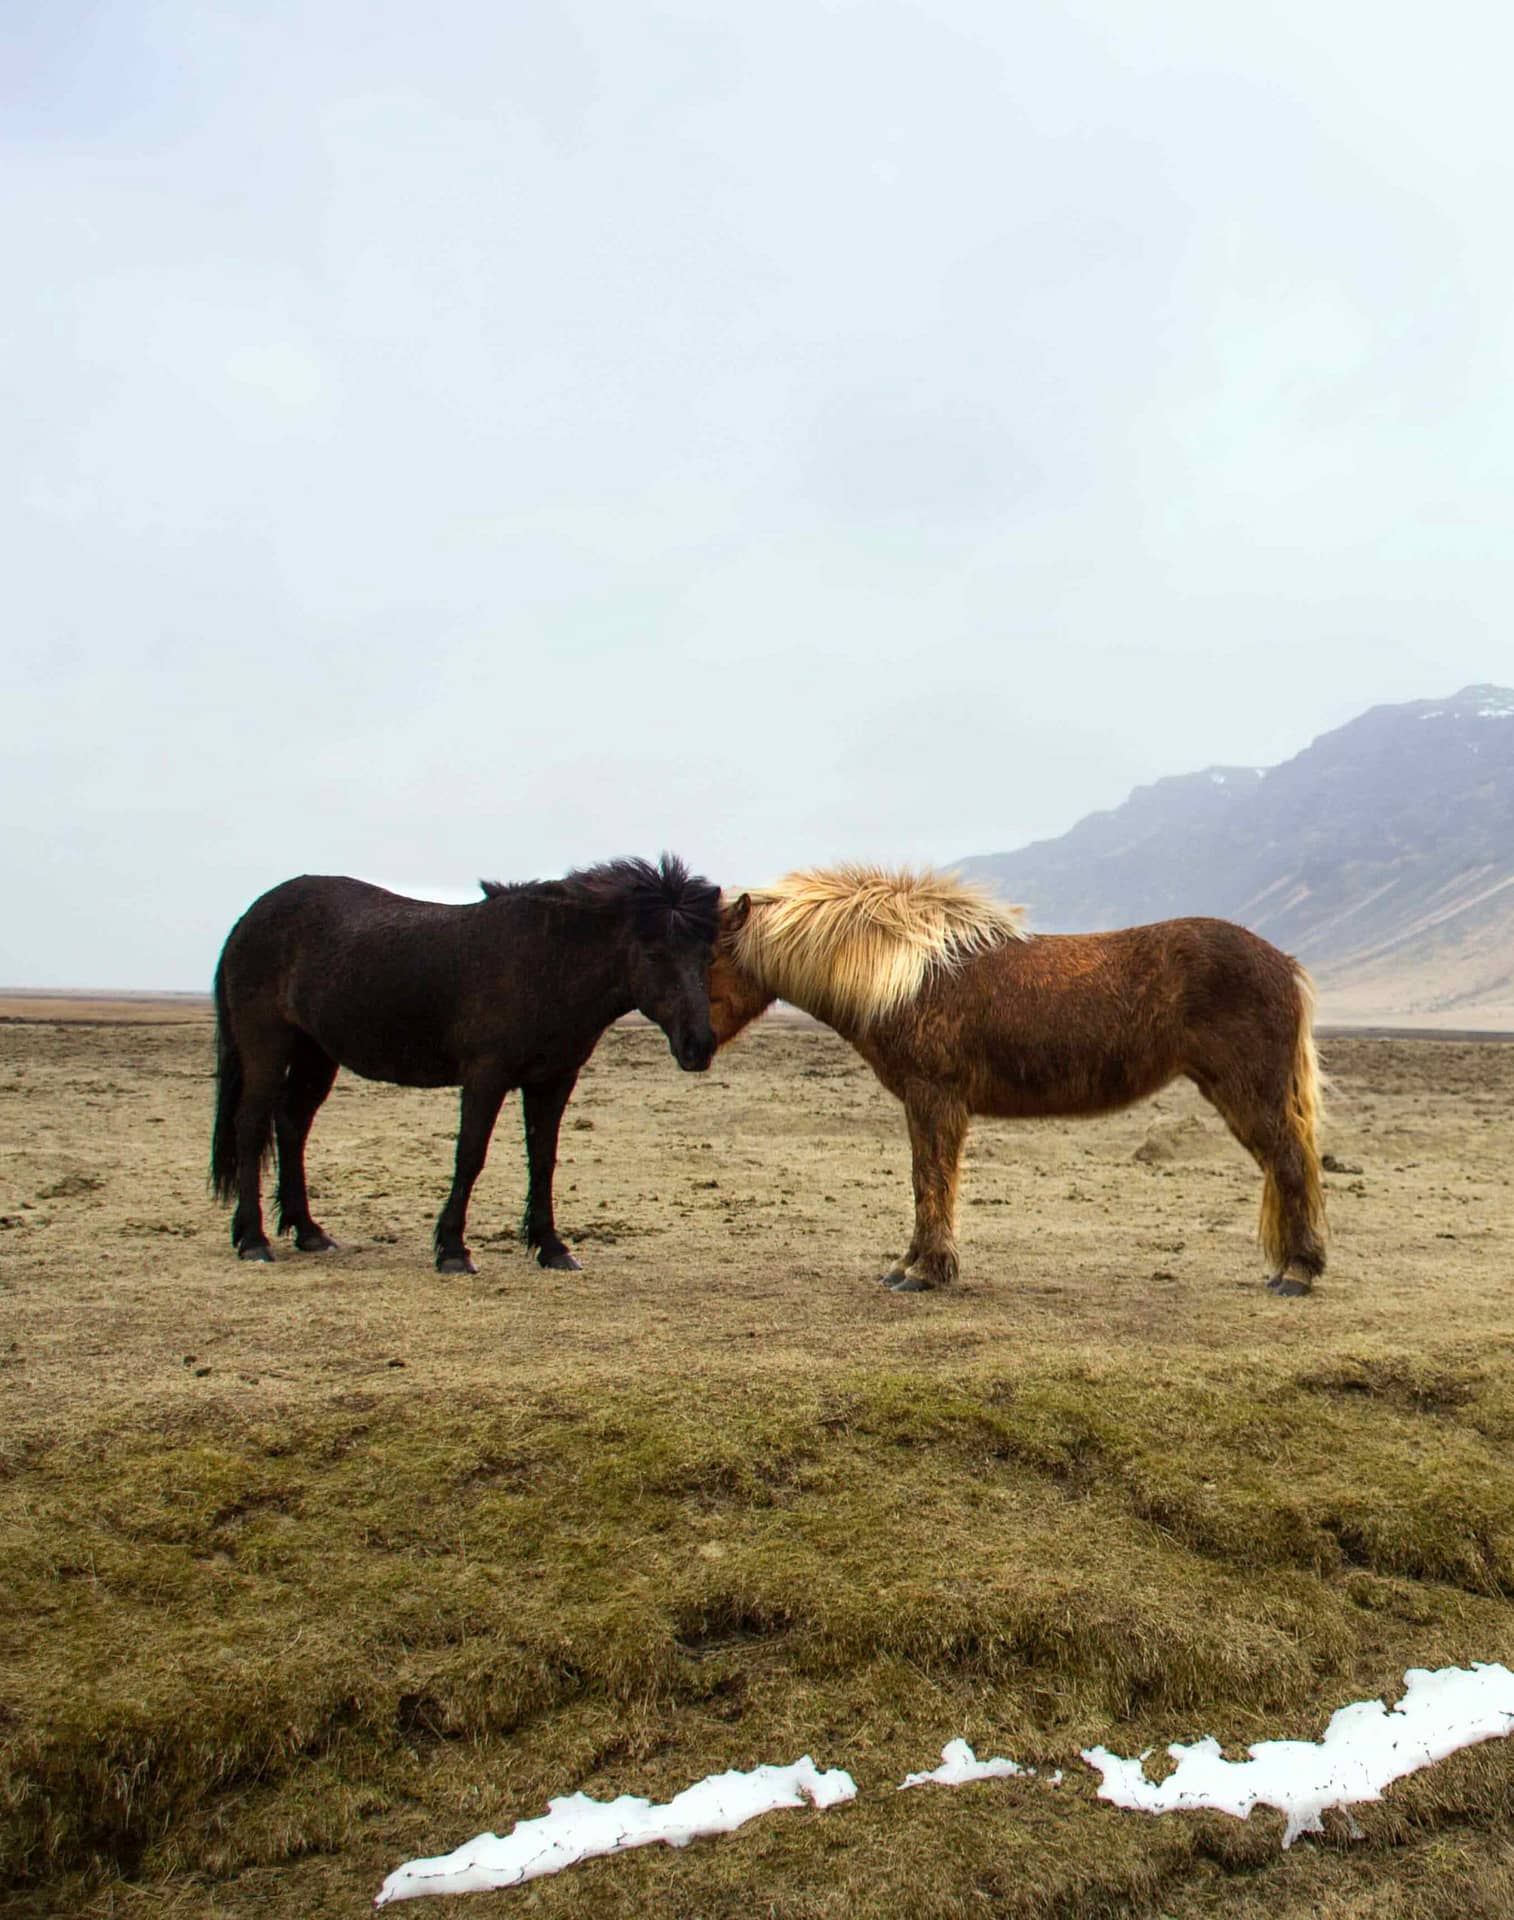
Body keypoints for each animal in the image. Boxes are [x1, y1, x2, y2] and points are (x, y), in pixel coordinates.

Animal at [211, 856, 721, 1274]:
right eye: (655, 954)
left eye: (706, 955)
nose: (699, 1046)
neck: (546, 963)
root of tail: (249, 918)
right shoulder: (485, 1077)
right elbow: (471, 1155)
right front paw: (453, 1250)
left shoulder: (553, 1080)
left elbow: (544, 1159)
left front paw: (552, 1247)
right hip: (267, 1045)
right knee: (251, 1125)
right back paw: (254, 1239)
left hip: (316, 1053)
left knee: (292, 1125)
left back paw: (308, 1231)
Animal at [709, 867, 1320, 1290]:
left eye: (710, 956)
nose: (695, 1048)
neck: (909, 976)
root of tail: (1285, 964)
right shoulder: (923, 1102)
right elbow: (924, 1180)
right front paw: (909, 1264)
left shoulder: (934, 1098)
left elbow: (931, 1179)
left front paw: (926, 1272)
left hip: (1248, 1092)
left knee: (1290, 1163)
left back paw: (1297, 1273)